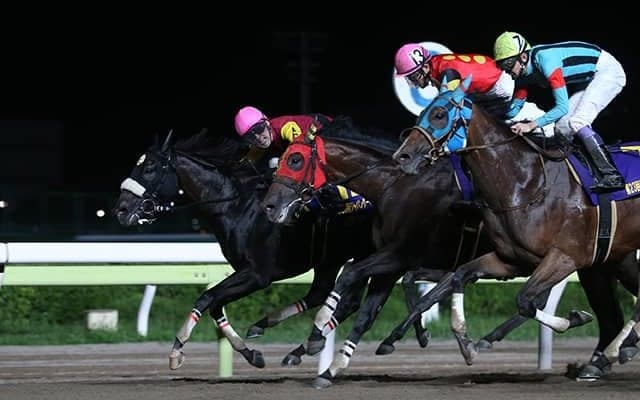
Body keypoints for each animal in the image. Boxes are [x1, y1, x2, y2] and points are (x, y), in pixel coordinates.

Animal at [114, 129, 377, 370]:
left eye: (149, 168)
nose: (121, 210)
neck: (237, 208)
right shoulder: (243, 271)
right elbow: (215, 305)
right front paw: (251, 354)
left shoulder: (258, 275)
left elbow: (206, 297)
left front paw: (177, 349)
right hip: (330, 259)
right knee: (326, 295)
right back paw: (285, 338)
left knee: (345, 300)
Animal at [260, 121, 638, 384]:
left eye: (296, 159)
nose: (270, 206)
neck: (394, 187)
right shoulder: (397, 263)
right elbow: (375, 307)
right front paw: (335, 359)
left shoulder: (400, 255)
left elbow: (359, 281)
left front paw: (317, 338)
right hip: (603, 260)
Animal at [389, 75, 640, 379]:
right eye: (421, 114)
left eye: (439, 114)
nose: (402, 157)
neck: (526, 184)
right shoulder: (512, 260)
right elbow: (459, 277)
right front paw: (467, 345)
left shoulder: (566, 257)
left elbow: (526, 300)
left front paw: (575, 317)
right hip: (619, 256)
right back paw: (607, 356)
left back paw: (612, 352)